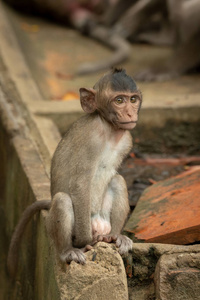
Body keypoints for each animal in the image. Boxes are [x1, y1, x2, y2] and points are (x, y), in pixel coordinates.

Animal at [7, 68, 142, 276]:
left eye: (133, 99)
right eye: (119, 100)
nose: (130, 112)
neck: (109, 129)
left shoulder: (127, 139)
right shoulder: (91, 139)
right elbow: (80, 184)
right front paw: (83, 242)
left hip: (102, 218)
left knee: (118, 181)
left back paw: (115, 236)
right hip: (64, 224)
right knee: (62, 200)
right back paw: (68, 250)